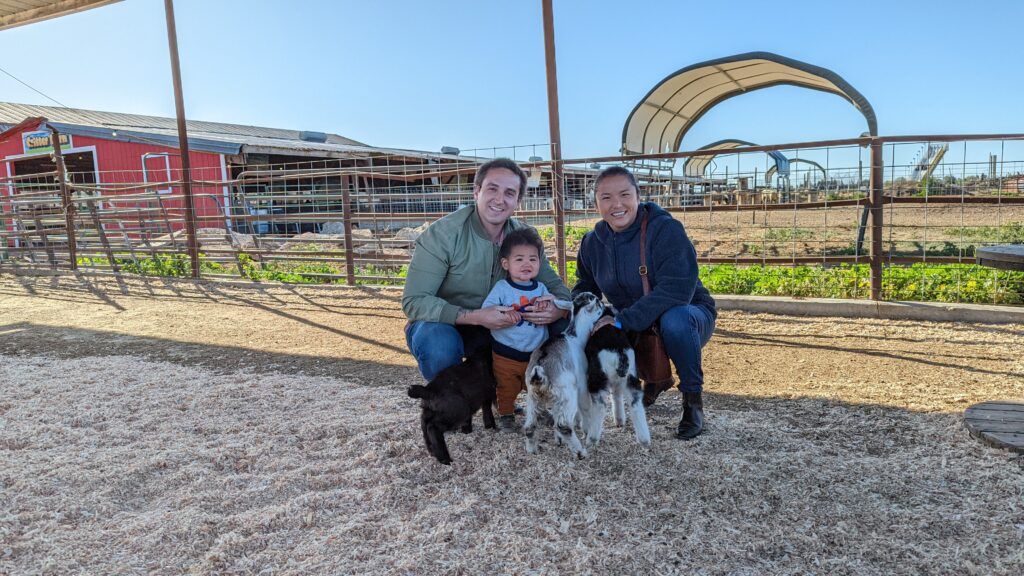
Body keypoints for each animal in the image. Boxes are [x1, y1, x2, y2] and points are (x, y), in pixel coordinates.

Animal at [524, 291, 602, 457]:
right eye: (598, 303)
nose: (604, 304)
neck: (575, 337)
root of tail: (539, 371)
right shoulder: (581, 383)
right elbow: (584, 406)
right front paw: (586, 430)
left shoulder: (555, 398)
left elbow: (555, 412)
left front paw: (558, 440)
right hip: (567, 393)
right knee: (564, 424)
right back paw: (580, 452)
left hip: (533, 397)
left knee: (530, 425)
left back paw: (532, 450)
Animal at [581, 309, 651, 444]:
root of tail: (620, 353)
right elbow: (617, 396)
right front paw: (619, 420)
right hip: (630, 376)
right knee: (635, 403)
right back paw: (644, 439)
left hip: (597, 378)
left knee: (600, 405)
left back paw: (592, 439)